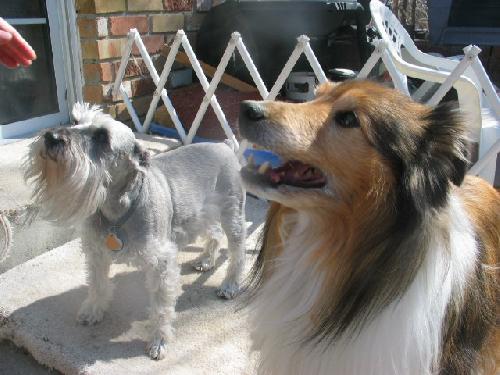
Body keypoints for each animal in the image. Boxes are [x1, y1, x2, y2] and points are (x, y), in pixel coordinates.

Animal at [24, 103, 247, 362]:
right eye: (75, 121)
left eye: (103, 136)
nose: (51, 137)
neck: (116, 208)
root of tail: (224, 145)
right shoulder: (96, 253)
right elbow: (97, 284)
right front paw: (93, 310)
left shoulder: (161, 263)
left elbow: (160, 308)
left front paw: (159, 341)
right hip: (203, 214)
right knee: (214, 233)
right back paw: (206, 260)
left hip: (232, 215)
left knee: (237, 252)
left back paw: (229, 285)